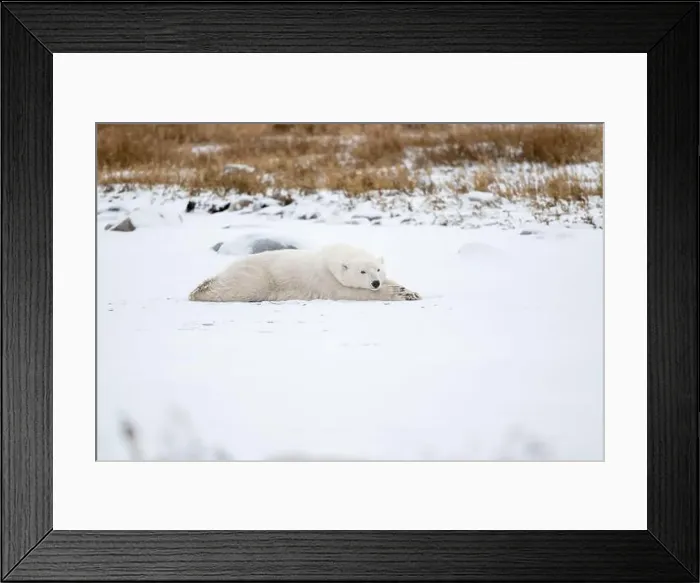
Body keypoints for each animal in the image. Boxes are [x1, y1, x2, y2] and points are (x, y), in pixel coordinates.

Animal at [188, 243, 421, 302]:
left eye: (378, 270)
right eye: (362, 271)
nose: (375, 283)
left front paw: (410, 290)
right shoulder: (326, 281)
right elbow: (350, 293)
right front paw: (400, 294)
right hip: (257, 277)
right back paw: (201, 290)